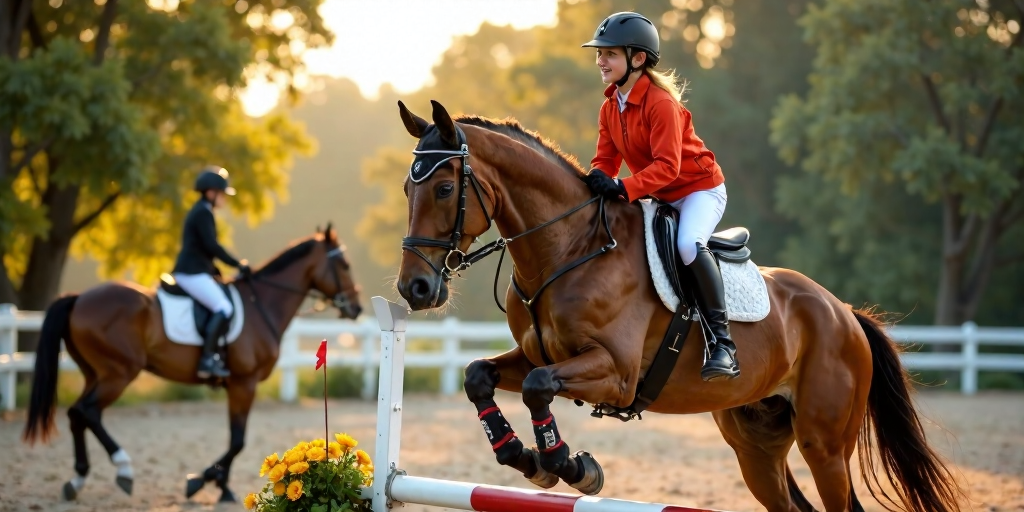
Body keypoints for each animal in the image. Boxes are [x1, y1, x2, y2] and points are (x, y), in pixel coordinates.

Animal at [19, 225, 364, 503]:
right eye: (344, 264)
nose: (357, 308)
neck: (261, 304)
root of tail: (78, 297)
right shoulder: (244, 382)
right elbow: (238, 440)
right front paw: (203, 481)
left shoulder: (238, 385)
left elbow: (235, 439)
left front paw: (220, 486)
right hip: (118, 373)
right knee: (87, 411)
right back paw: (123, 469)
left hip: (95, 373)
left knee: (77, 414)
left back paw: (77, 480)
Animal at [391, 98, 966, 512]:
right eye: (406, 190)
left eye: (444, 188)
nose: (413, 289)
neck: (568, 250)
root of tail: (844, 312)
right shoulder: (538, 354)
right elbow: (478, 375)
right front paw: (522, 456)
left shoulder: (615, 373)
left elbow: (537, 388)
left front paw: (569, 466)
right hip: (755, 443)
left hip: (823, 444)